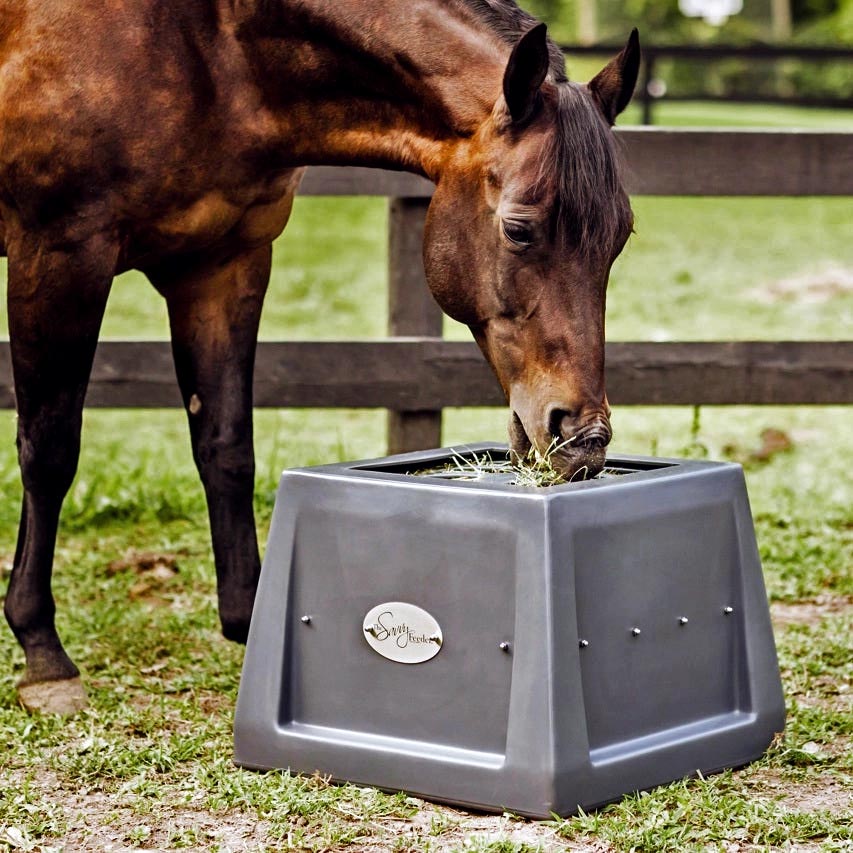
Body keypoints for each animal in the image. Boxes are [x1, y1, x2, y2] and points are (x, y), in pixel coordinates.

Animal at [0, 0, 639, 714]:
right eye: (519, 229)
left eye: (621, 236)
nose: (583, 439)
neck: (209, 45)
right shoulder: (59, 255)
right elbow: (50, 451)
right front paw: (44, 656)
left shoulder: (224, 264)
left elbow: (225, 445)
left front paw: (251, 618)